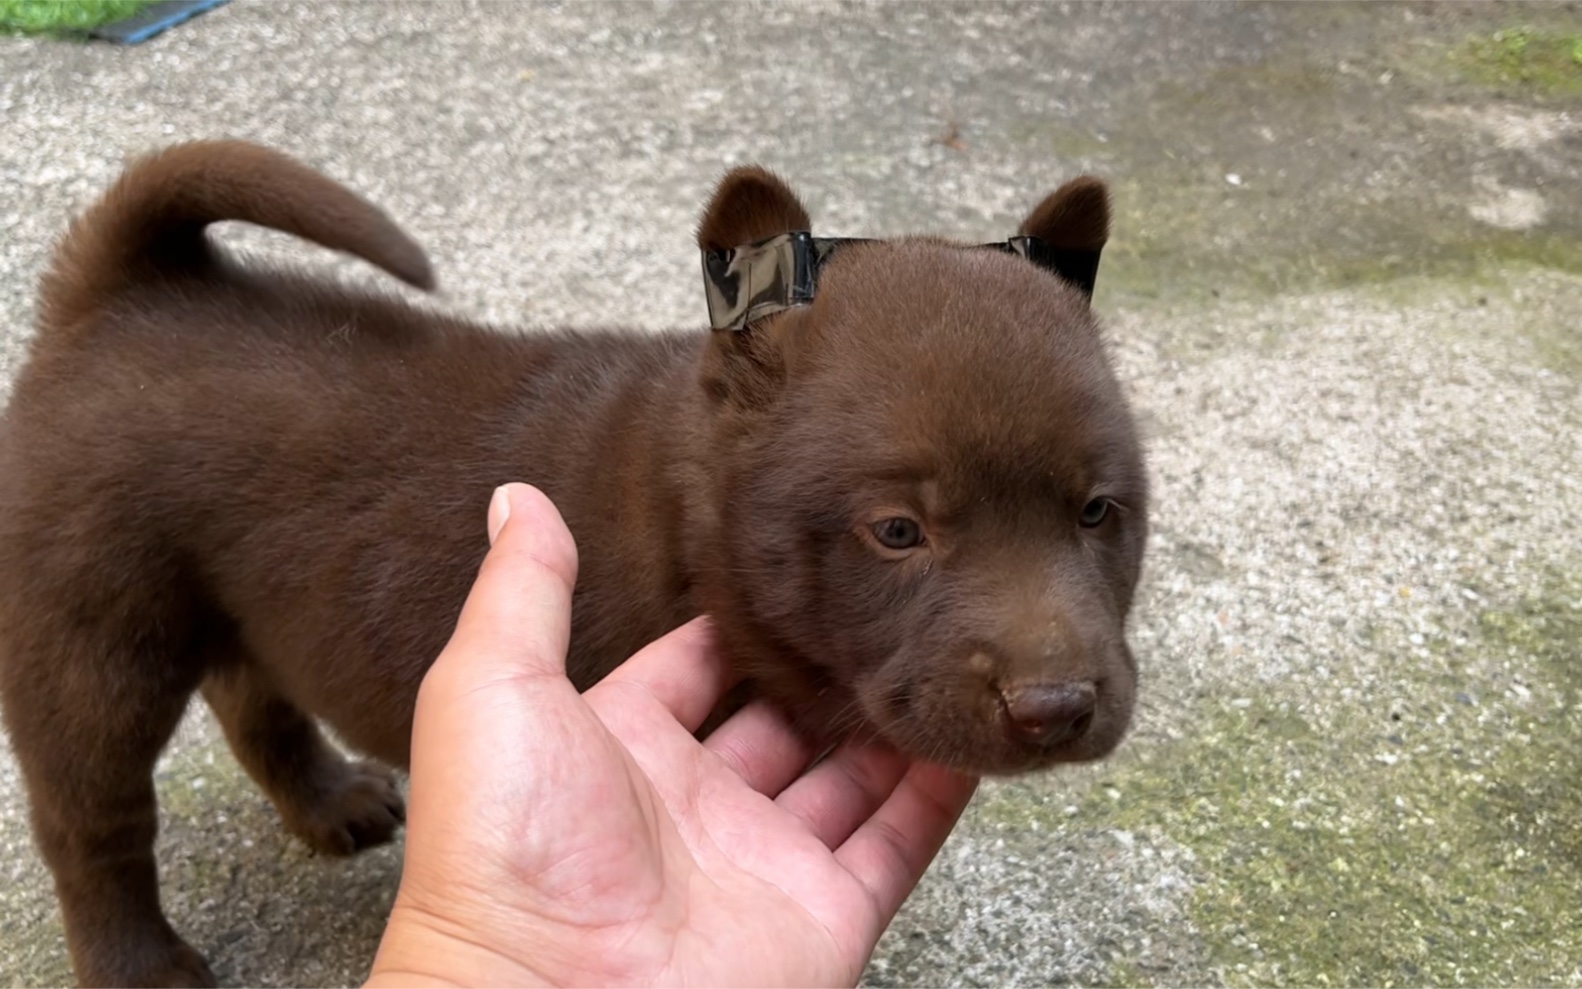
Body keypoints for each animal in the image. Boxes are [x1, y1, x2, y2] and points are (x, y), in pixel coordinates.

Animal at [0, 140, 1145, 987]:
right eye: (898, 530)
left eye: (1097, 511)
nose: (1054, 706)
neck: (695, 521)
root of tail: (120, 294)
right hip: (91, 626)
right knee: (91, 819)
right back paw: (140, 964)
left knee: (252, 694)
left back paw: (331, 801)